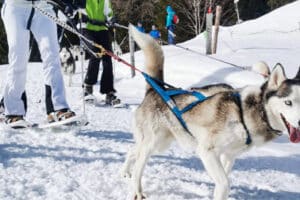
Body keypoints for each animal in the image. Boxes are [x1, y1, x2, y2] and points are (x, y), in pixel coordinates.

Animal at [122, 25, 300, 200]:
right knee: (138, 167)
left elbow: (223, 182)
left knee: (133, 151)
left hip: (161, 143)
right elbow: (225, 183)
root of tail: (155, 90)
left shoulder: (228, 156)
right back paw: (137, 191)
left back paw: (125, 172)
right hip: (154, 143)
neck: (246, 113)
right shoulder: (207, 151)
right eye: (288, 102)